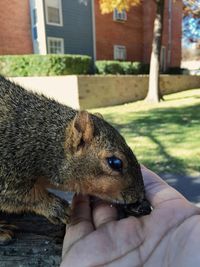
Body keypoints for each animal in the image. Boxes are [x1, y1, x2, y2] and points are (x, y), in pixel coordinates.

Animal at [0, 75, 150, 245]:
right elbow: (19, 196)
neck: (47, 144)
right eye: (115, 163)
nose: (140, 196)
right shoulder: (9, 169)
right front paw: (55, 207)